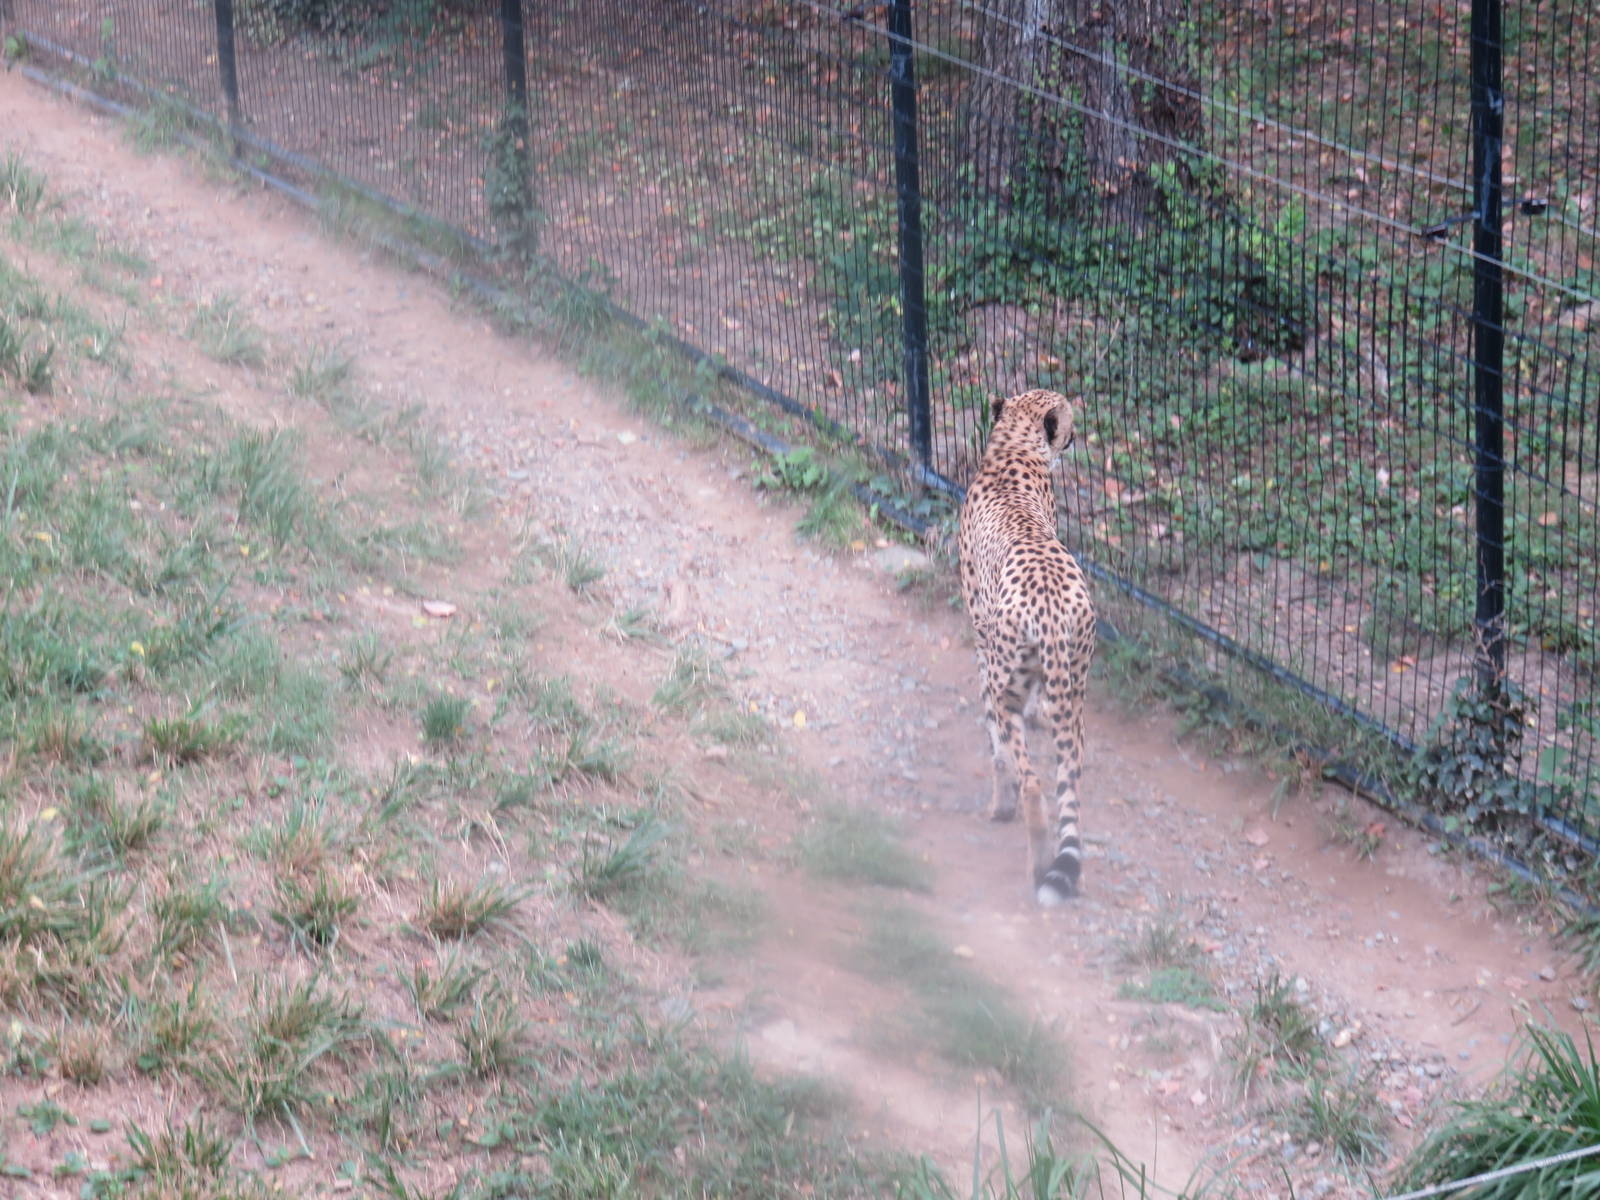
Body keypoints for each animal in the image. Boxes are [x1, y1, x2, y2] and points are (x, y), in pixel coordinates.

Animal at [958, 388, 1096, 906]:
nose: (1075, 435)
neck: (1012, 450)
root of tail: (1052, 609)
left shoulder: (983, 644)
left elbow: (996, 747)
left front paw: (1000, 801)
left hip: (1009, 687)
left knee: (1034, 783)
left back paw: (1035, 855)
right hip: (1077, 693)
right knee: (1068, 786)